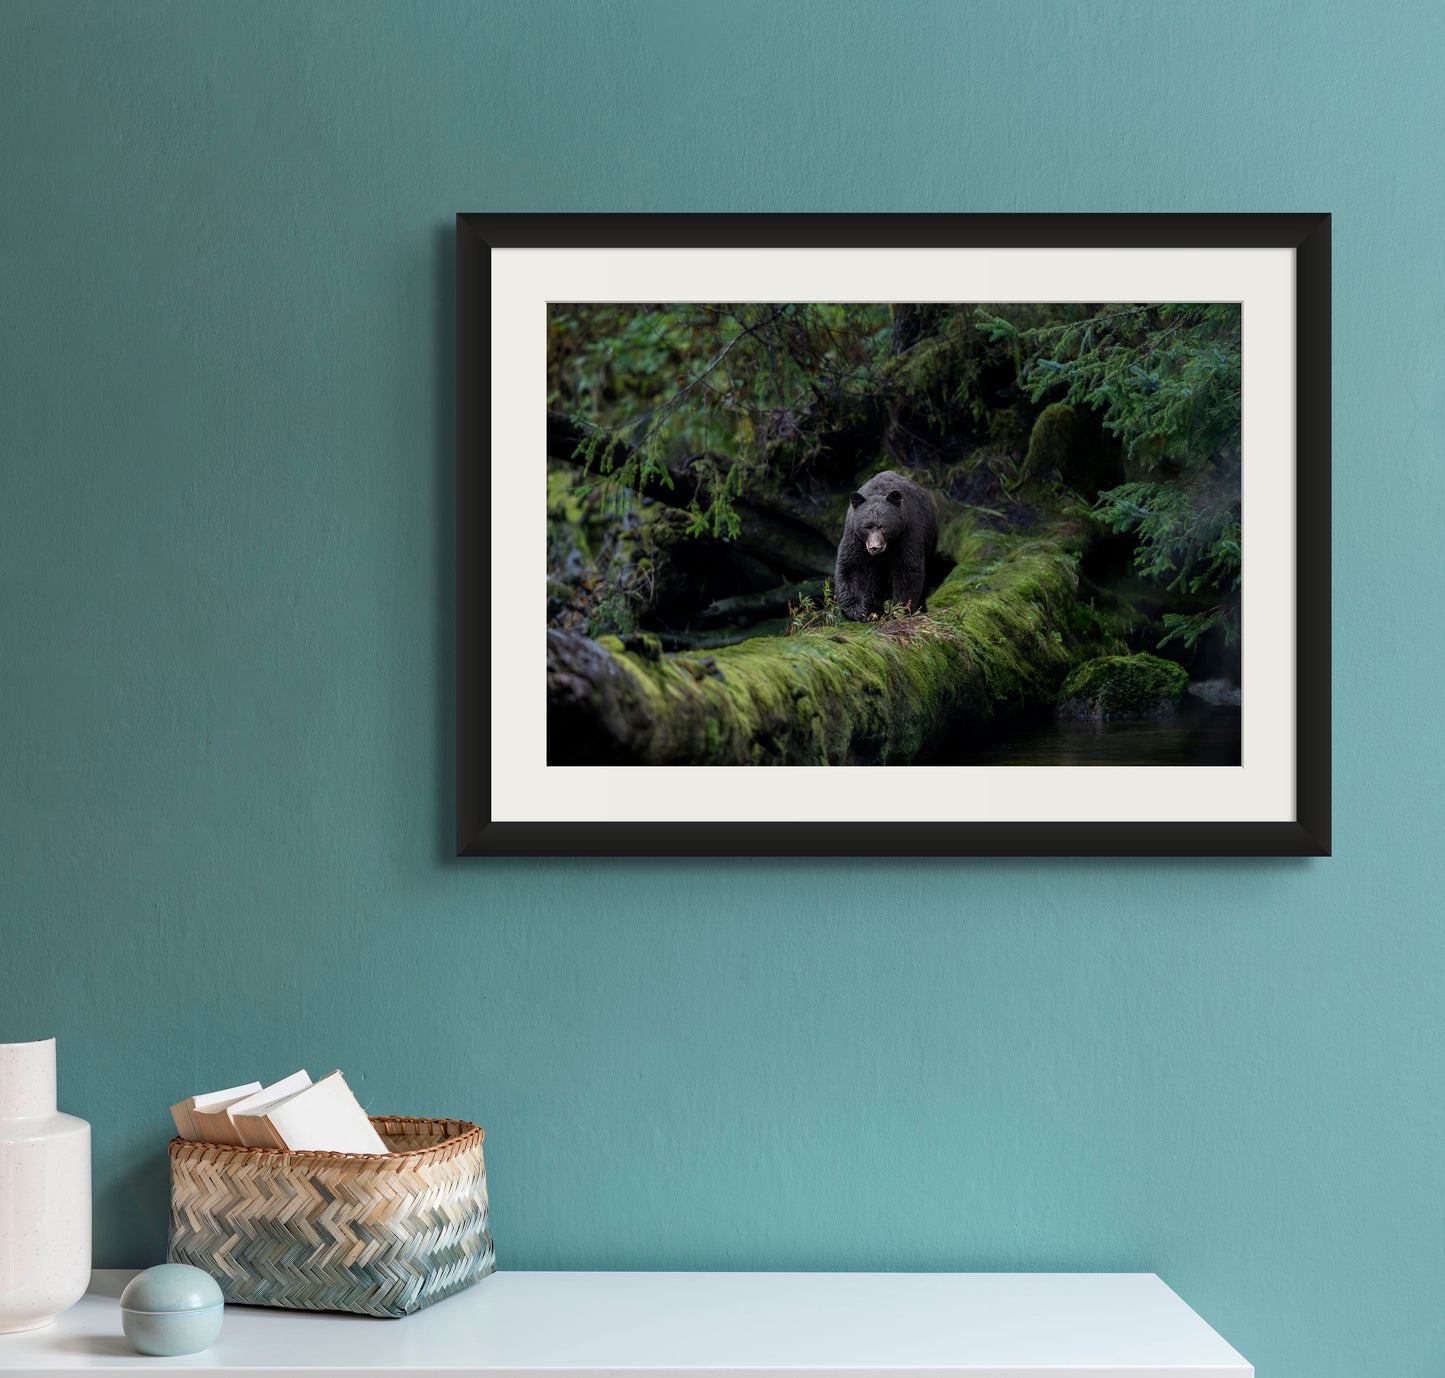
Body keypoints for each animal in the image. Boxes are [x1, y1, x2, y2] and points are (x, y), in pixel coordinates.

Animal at [832, 473, 942, 624]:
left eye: (883, 526)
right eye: (867, 527)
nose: (875, 547)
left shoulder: (908, 532)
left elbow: (907, 568)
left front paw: (900, 609)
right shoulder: (855, 537)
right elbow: (851, 566)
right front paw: (856, 611)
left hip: (930, 537)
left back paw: (921, 607)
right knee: (875, 579)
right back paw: (874, 610)